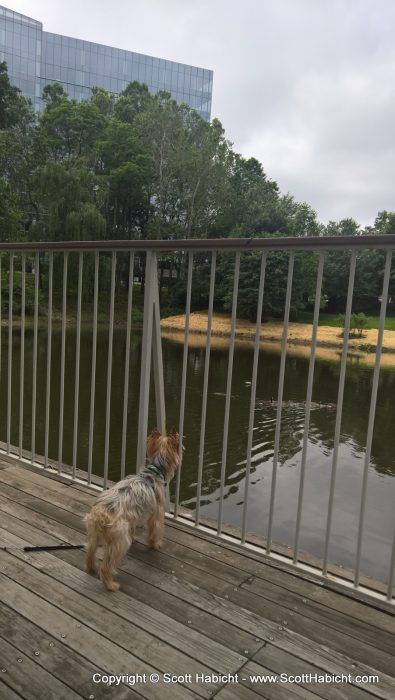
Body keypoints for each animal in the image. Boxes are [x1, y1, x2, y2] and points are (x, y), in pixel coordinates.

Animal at [86, 426, 182, 592]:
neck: (155, 470)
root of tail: (101, 513)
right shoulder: (156, 512)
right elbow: (155, 529)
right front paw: (155, 544)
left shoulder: (131, 518)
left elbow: (133, 529)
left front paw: (135, 538)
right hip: (120, 539)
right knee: (107, 565)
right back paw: (111, 585)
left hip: (95, 533)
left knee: (90, 550)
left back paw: (91, 568)